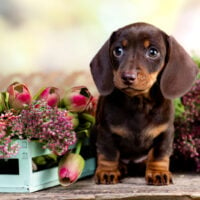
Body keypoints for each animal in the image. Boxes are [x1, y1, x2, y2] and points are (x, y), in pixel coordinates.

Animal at [90, 22, 198, 186]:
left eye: (153, 52)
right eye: (118, 50)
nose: (128, 77)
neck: (138, 104)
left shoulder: (165, 133)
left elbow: (159, 154)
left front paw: (158, 173)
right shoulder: (105, 131)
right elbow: (108, 153)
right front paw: (108, 171)